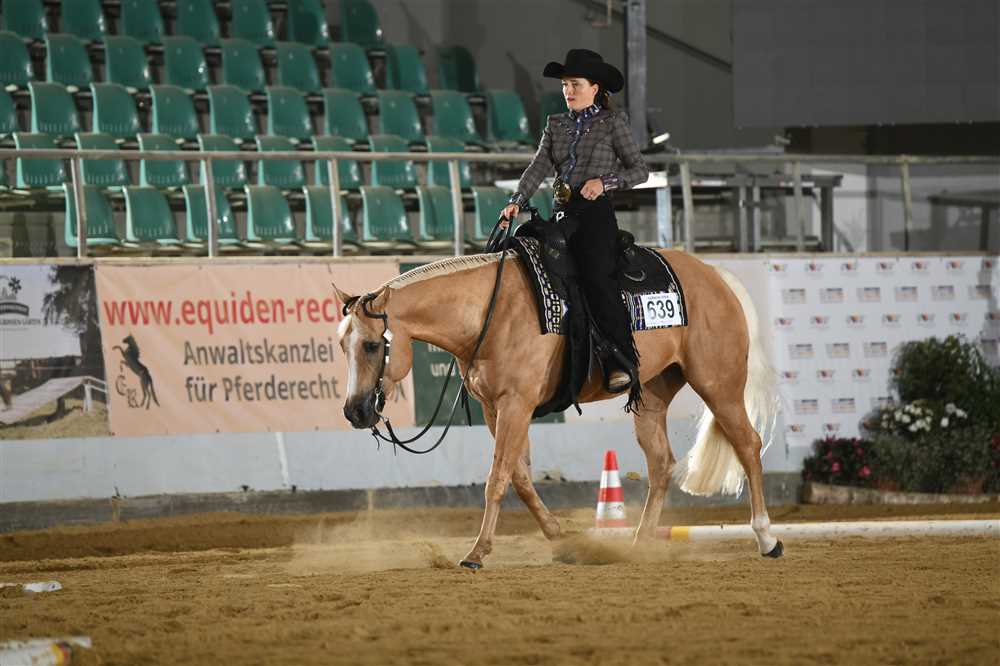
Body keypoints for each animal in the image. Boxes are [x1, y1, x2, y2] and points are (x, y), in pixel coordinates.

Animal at [334, 248, 782, 569]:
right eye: (341, 344)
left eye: (371, 345)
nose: (355, 411)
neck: (490, 313)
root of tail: (713, 274)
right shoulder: (495, 408)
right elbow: (519, 477)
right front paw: (560, 539)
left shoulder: (516, 404)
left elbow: (497, 478)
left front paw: (477, 553)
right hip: (654, 394)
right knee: (660, 463)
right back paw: (638, 545)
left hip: (719, 385)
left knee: (748, 445)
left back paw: (767, 538)